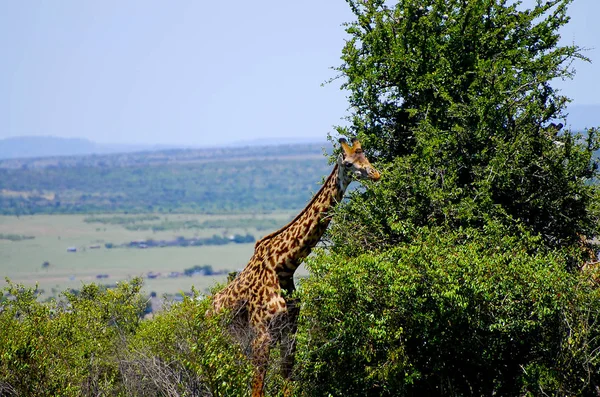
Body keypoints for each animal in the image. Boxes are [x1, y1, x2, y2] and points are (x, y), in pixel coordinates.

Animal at [211, 137, 380, 396]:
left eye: (366, 156)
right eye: (349, 163)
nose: (376, 174)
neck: (283, 265)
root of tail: (207, 310)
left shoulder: (290, 330)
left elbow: (287, 380)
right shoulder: (261, 335)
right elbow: (257, 388)